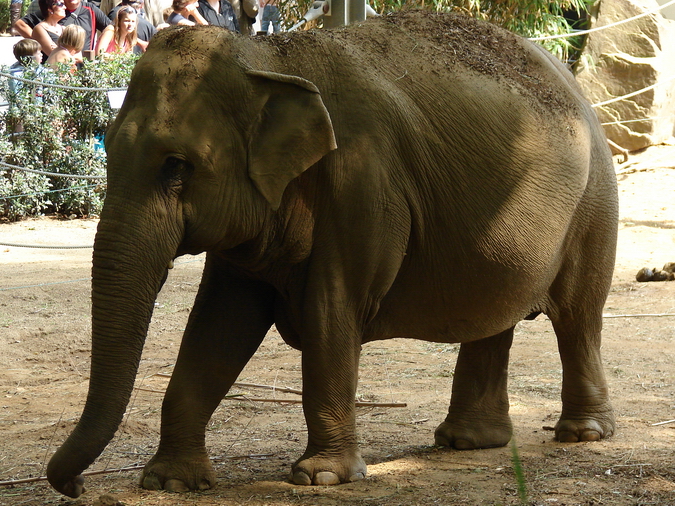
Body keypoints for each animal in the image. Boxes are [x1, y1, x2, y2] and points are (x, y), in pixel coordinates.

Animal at [46, 10, 618, 498]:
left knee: (578, 316)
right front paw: (170, 482)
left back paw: (583, 433)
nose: (75, 486)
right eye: (109, 146)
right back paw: (466, 441)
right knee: (493, 319)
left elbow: (330, 313)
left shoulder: (365, 180)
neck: (268, 57)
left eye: (176, 166)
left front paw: (321, 477)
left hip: (595, 201)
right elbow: (217, 324)